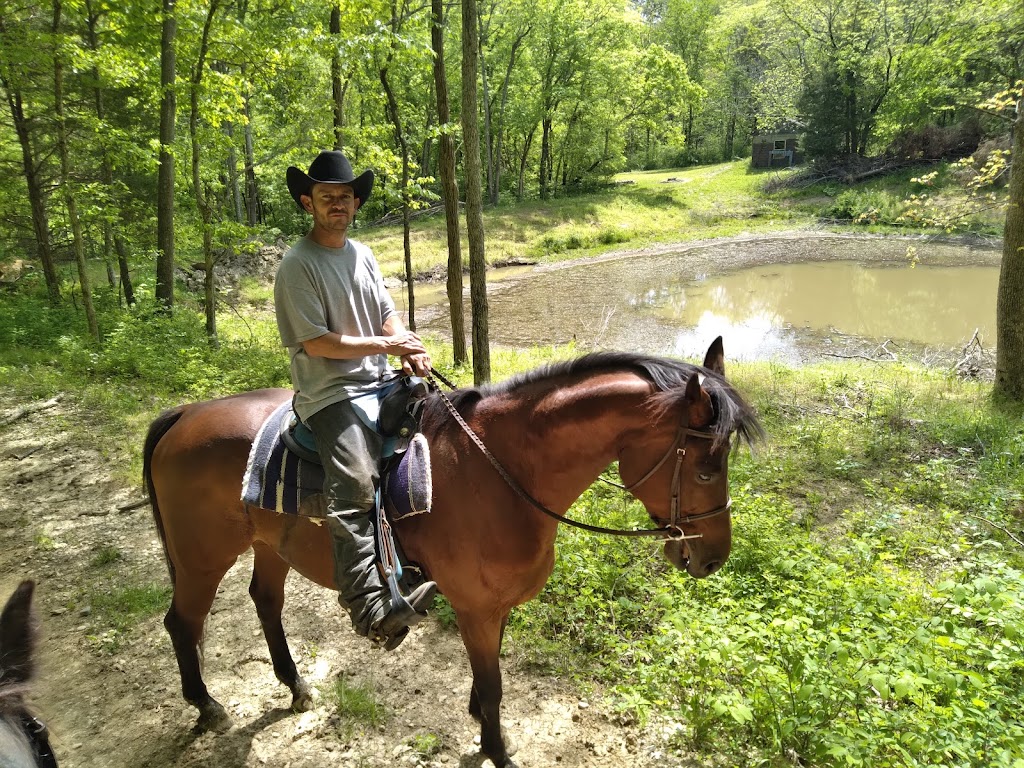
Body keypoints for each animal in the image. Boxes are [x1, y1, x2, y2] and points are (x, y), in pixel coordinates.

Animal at [148, 339, 765, 765]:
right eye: (706, 467)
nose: (713, 558)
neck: (500, 474)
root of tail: (186, 414)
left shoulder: (496, 608)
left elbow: (488, 682)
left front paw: (484, 728)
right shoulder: (474, 607)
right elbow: (492, 686)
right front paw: (496, 749)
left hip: (268, 543)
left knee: (265, 602)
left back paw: (294, 686)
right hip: (203, 557)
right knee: (183, 623)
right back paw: (206, 705)